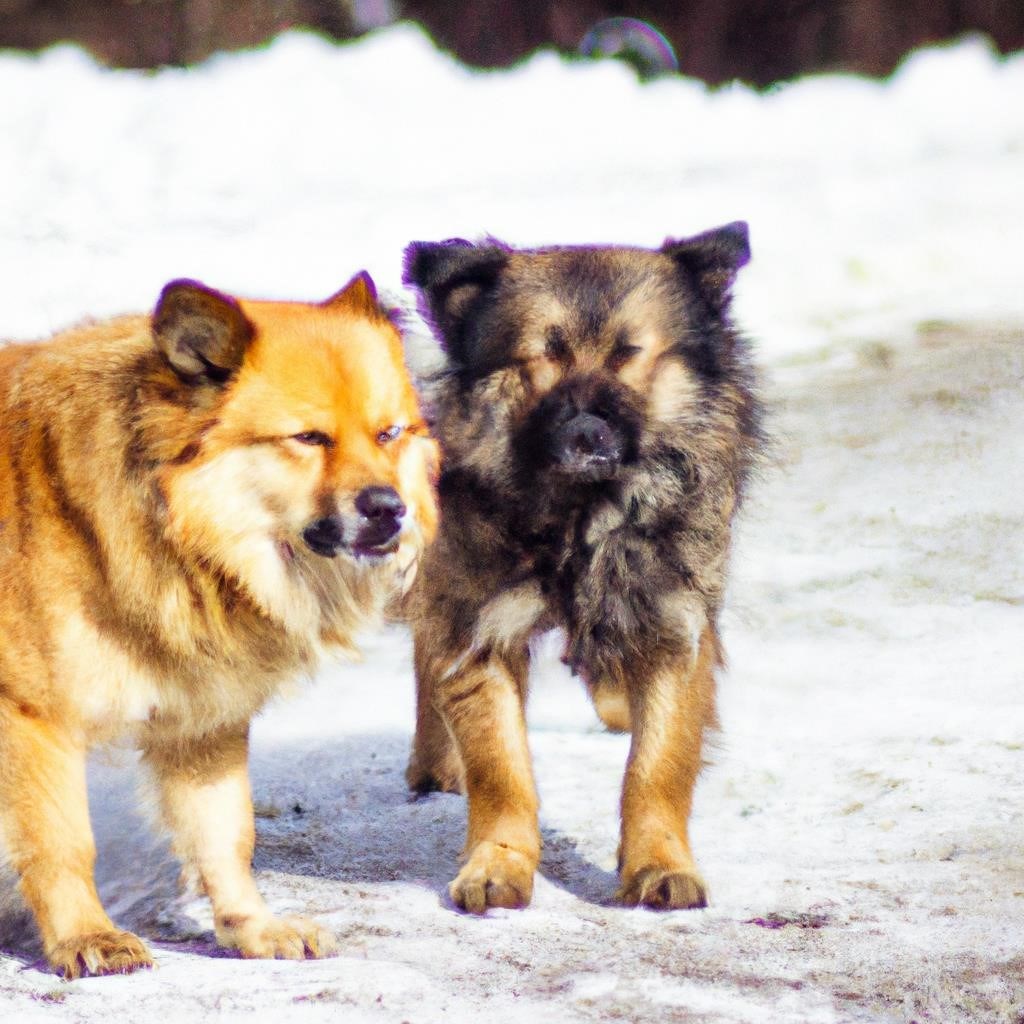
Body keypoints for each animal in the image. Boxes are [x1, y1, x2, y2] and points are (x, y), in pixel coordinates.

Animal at [0, 272, 436, 974]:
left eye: (388, 434)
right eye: (309, 439)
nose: (390, 510)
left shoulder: (204, 721)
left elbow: (227, 836)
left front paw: (251, 928)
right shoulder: (33, 717)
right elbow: (62, 843)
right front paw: (84, 937)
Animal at [403, 224, 765, 913]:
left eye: (629, 353)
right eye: (542, 356)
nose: (586, 433)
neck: (580, 517)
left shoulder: (671, 623)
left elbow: (656, 767)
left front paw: (659, 867)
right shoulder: (481, 624)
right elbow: (501, 767)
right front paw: (498, 864)